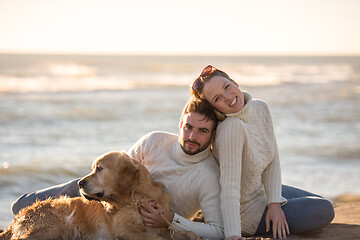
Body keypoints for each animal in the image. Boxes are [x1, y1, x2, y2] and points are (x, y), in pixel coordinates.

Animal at [0, 152, 201, 240]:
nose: (80, 183)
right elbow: (157, 239)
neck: (136, 197)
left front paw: (193, 235)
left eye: (99, 168)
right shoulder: (124, 229)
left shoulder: (159, 224)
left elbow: (183, 232)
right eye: (93, 168)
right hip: (54, 226)